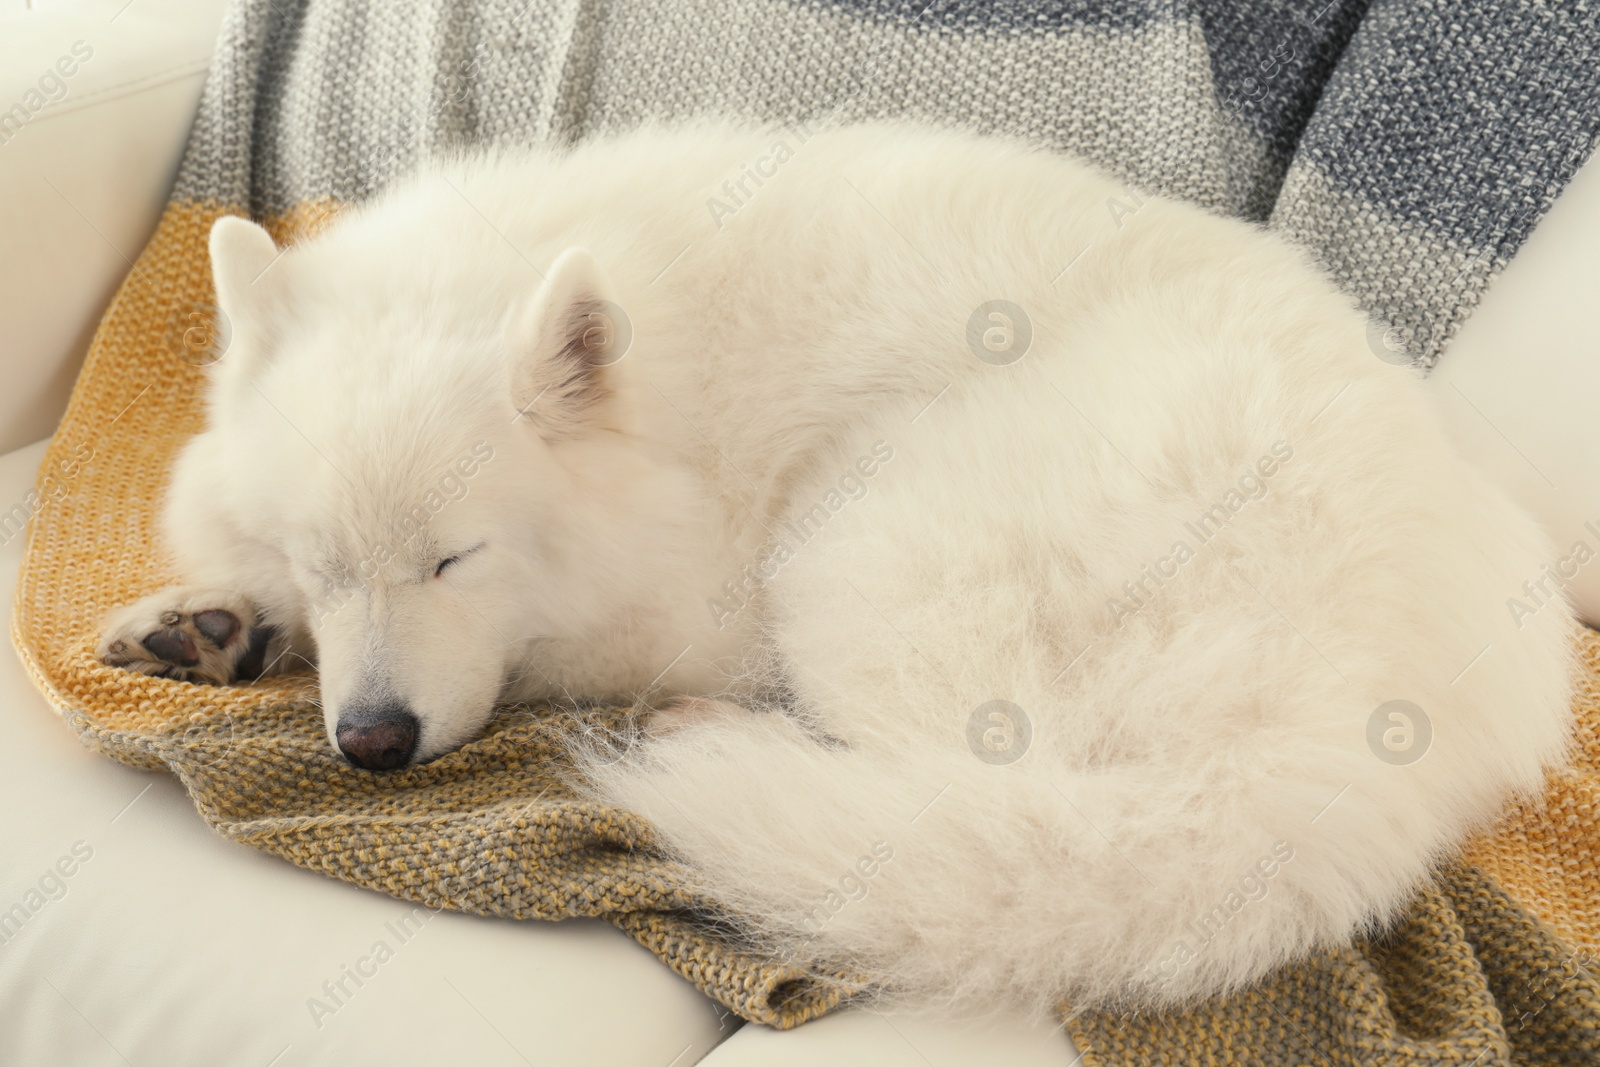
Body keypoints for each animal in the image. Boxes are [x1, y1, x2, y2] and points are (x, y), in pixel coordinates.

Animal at [96, 123, 1574, 1017]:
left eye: (456, 558)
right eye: (319, 560)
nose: (370, 745)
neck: (674, 396)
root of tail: (1360, 745)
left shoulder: (691, 587)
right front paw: (211, 618)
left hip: (864, 543)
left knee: (952, 781)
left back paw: (712, 737)